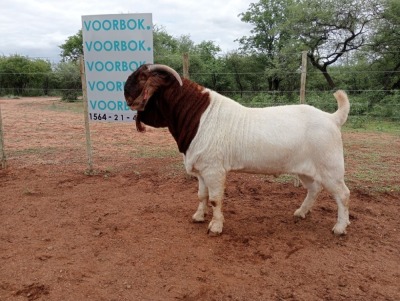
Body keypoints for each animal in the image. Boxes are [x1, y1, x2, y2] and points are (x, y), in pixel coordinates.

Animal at [124, 63, 350, 234]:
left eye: (142, 77)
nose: (124, 90)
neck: (198, 116)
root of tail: (332, 118)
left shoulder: (214, 170)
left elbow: (215, 199)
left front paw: (215, 227)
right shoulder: (202, 170)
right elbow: (201, 195)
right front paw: (198, 216)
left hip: (331, 168)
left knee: (343, 194)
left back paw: (340, 227)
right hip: (306, 170)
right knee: (314, 189)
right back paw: (301, 212)